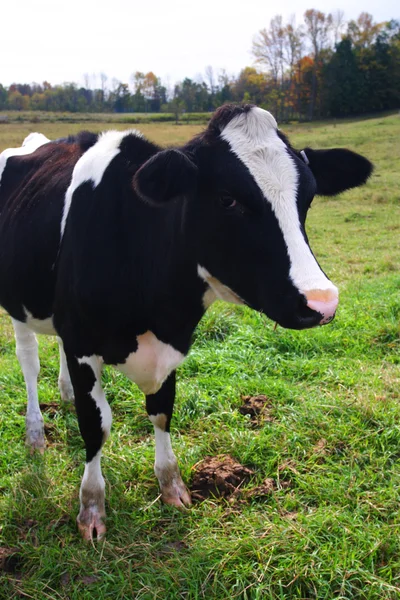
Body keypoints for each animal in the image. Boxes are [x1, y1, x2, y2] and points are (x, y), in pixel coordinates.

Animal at [0, 103, 372, 540]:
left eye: (309, 199)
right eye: (227, 199)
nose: (322, 302)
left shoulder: (168, 341)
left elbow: (162, 409)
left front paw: (171, 484)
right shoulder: (83, 342)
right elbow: (96, 424)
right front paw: (91, 508)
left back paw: (66, 394)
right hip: (18, 305)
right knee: (28, 362)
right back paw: (35, 432)